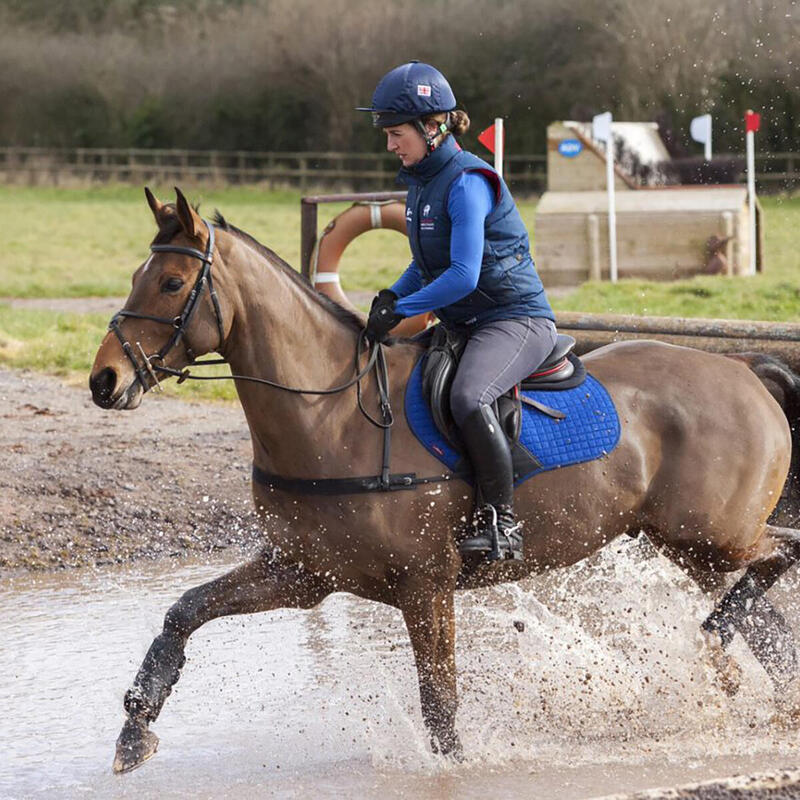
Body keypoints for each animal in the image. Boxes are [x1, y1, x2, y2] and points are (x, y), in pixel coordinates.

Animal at [90, 189, 800, 776]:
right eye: (137, 278)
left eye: (172, 282)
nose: (104, 380)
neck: (332, 412)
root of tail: (745, 369)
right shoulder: (302, 572)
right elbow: (185, 611)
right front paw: (134, 730)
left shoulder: (424, 585)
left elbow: (439, 701)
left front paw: (455, 769)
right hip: (691, 547)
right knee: (766, 622)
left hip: (713, 535)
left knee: (780, 556)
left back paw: (717, 637)